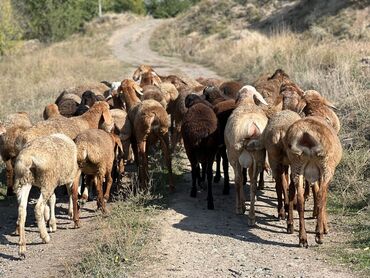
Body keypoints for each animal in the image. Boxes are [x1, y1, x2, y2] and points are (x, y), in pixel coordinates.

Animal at [223, 85, 268, 226]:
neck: (248, 102)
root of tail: (252, 127)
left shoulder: (235, 158)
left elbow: (240, 179)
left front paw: (241, 206)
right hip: (258, 157)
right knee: (253, 185)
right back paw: (252, 217)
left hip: (234, 155)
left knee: (238, 179)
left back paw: (239, 209)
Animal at [284, 116, 342, 247]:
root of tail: (305, 135)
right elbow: (321, 195)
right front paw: (323, 228)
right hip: (326, 167)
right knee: (321, 196)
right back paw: (319, 235)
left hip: (297, 165)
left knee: (299, 198)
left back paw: (302, 238)